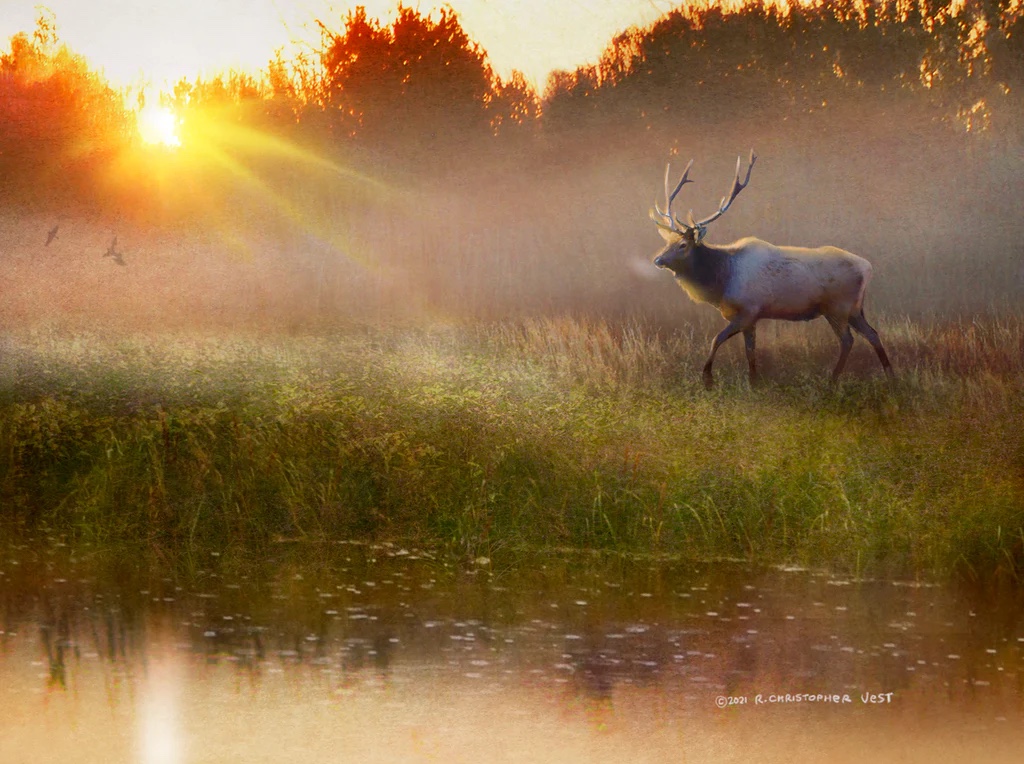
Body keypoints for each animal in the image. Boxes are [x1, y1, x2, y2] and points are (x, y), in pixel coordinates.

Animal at [650, 151, 893, 388]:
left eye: (683, 245)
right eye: (668, 242)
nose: (658, 259)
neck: (722, 282)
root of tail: (867, 268)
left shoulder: (748, 309)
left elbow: (716, 339)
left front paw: (707, 378)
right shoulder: (752, 317)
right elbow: (750, 350)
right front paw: (754, 381)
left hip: (837, 306)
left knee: (848, 340)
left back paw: (832, 381)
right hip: (854, 309)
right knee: (872, 334)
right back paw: (891, 377)